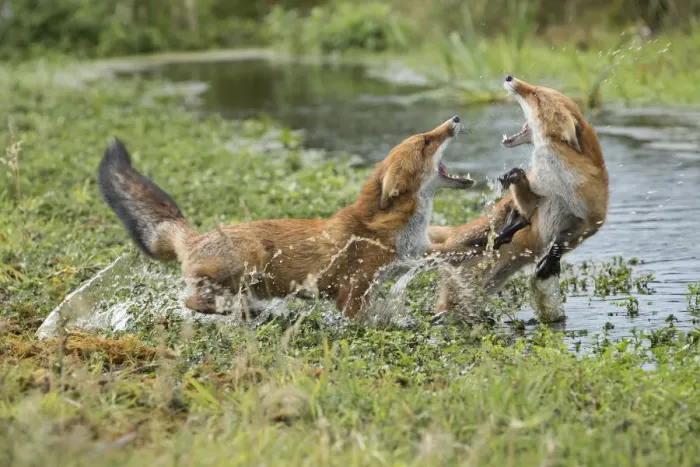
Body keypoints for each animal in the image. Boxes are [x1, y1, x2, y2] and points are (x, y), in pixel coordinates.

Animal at [98, 117, 473, 318]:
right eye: (426, 142)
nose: (455, 119)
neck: (392, 229)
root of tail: (196, 236)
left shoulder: (417, 253)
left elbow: (453, 248)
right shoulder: (353, 292)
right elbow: (362, 317)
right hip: (251, 257)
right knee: (193, 300)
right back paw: (247, 312)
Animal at [428, 76, 609, 323]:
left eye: (535, 96)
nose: (509, 77)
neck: (560, 184)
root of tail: (453, 232)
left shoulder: (591, 221)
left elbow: (561, 243)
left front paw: (550, 261)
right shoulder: (537, 205)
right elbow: (524, 201)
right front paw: (514, 176)